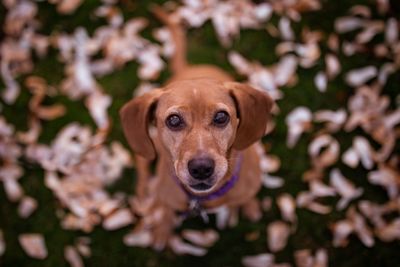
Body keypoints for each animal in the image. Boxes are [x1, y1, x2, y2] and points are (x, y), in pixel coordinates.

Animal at [119, 6, 274, 251]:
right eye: (173, 120)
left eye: (221, 117)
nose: (201, 168)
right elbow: (165, 211)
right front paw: (162, 230)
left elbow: (247, 199)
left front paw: (250, 207)